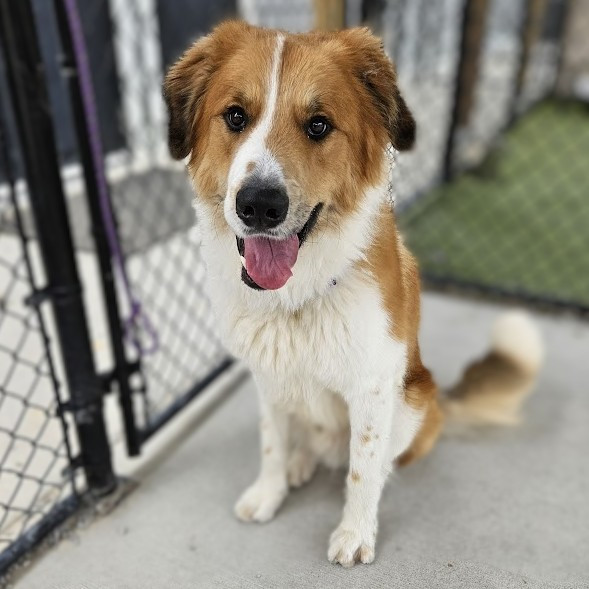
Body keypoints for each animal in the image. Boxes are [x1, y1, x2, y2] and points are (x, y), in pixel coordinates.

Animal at [162, 21, 544, 564]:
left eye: (319, 125)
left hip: (413, 400)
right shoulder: (267, 378)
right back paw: (301, 464)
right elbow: (271, 443)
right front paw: (269, 491)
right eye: (235, 116)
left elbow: (362, 468)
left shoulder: (374, 385)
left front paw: (355, 533)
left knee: (374, 459)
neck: (296, 297)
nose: (259, 205)